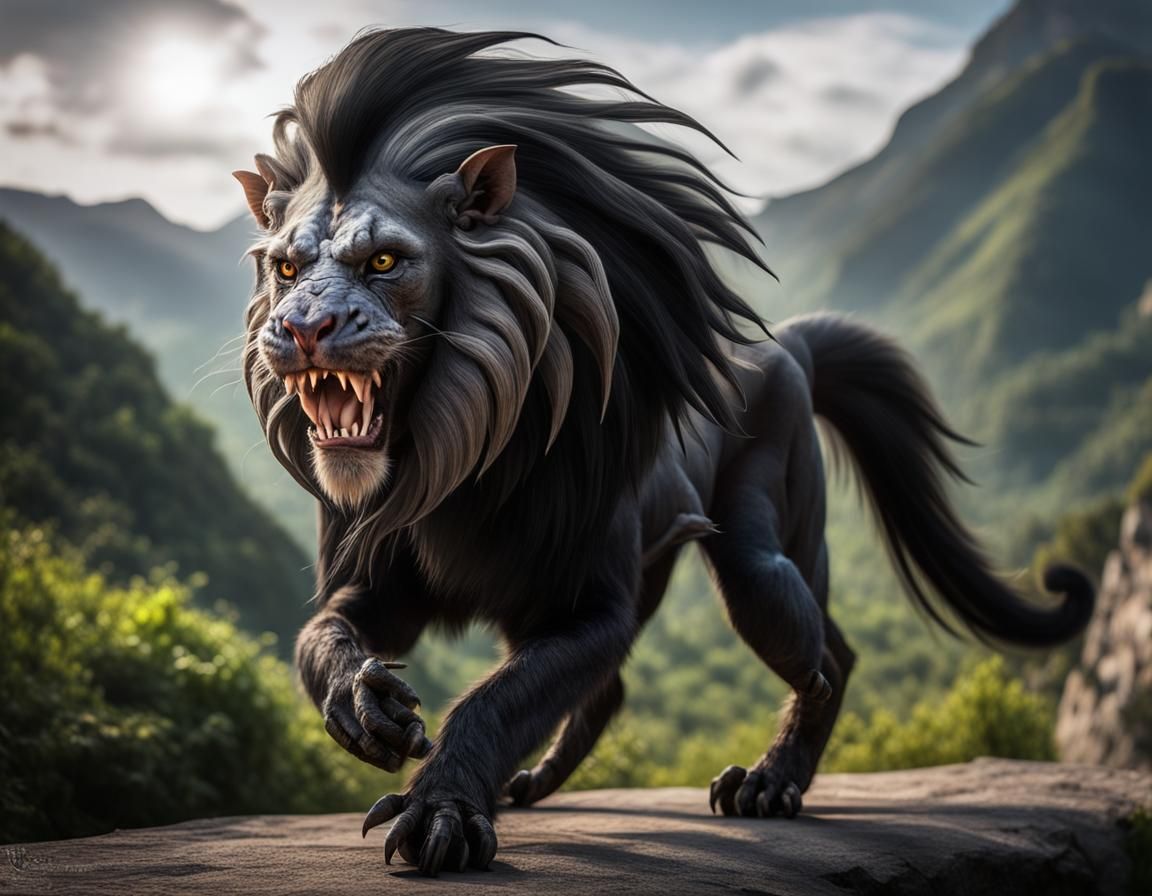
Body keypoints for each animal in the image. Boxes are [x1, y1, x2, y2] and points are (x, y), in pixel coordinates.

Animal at [236, 28, 1093, 876]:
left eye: (384, 260)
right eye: (287, 266)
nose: (303, 328)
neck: (454, 469)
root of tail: (787, 343)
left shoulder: (591, 601)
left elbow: (499, 698)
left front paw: (441, 813)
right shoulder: (383, 587)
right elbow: (321, 640)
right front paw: (367, 708)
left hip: (759, 555)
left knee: (826, 654)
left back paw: (771, 783)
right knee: (641, 687)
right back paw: (533, 783)